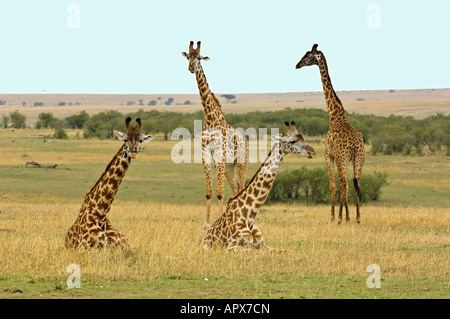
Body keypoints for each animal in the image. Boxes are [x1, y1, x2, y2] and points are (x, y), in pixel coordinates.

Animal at [64, 117, 154, 250]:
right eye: (125, 139)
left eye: (141, 140)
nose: (133, 151)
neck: (100, 213)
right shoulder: (84, 247)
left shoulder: (126, 245)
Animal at [181, 40, 248, 230]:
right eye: (188, 57)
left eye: (199, 58)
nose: (190, 68)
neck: (210, 117)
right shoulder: (206, 156)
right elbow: (209, 192)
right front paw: (207, 223)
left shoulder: (219, 155)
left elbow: (219, 192)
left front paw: (218, 221)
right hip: (229, 167)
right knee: (235, 189)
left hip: (240, 162)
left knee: (241, 187)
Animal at [202, 121, 314, 251]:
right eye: (292, 141)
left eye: (303, 137)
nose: (312, 150)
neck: (249, 215)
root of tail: (205, 237)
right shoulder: (232, 247)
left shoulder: (263, 245)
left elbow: (284, 251)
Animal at [296, 43, 366, 225]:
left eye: (308, 55)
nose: (297, 65)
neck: (335, 115)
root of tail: (355, 144)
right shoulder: (344, 159)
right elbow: (347, 185)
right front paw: (348, 216)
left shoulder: (329, 155)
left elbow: (332, 185)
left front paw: (334, 216)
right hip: (359, 159)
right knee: (355, 183)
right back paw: (357, 218)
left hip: (342, 158)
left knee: (343, 183)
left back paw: (340, 218)